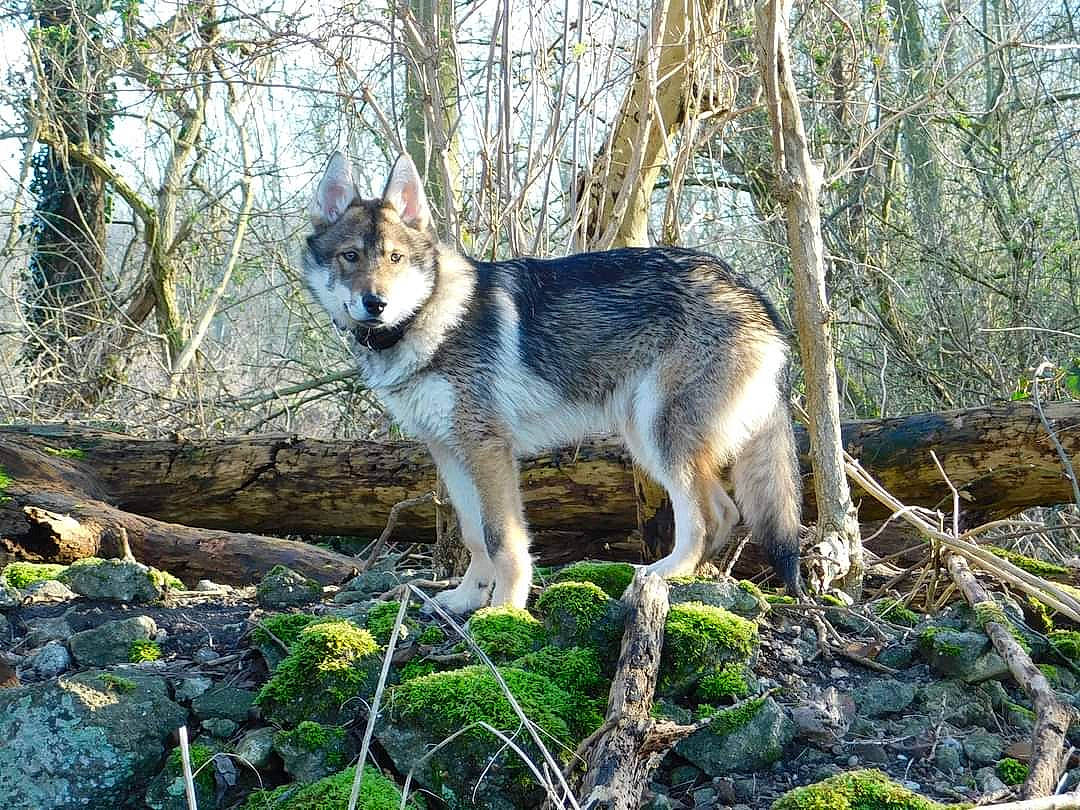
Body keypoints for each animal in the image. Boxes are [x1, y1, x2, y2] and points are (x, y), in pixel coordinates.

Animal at [302, 152, 803, 612]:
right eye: (350, 256)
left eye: (395, 258)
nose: (376, 303)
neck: (428, 321)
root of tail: (753, 293)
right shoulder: (449, 451)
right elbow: (474, 535)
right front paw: (467, 598)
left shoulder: (488, 451)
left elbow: (503, 540)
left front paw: (505, 609)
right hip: (646, 440)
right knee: (726, 511)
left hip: (662, 438)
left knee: (709, 517)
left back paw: (661, 575)